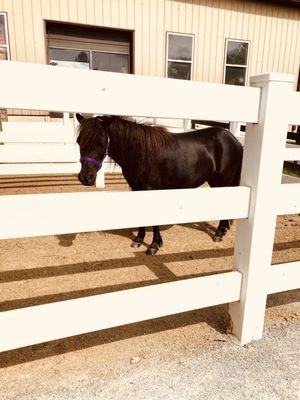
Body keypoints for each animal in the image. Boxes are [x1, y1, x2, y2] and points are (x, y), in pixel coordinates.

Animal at [76, 114, 243, 255]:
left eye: (101, 142)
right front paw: (138, 239)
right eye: (78, 141)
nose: (85, 178)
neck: (141, 154)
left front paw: (154, 245)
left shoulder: (151, 190)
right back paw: (223, 230)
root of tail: (233, 139)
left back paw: (219, 233)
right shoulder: (136, 189)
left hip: (222, 181)